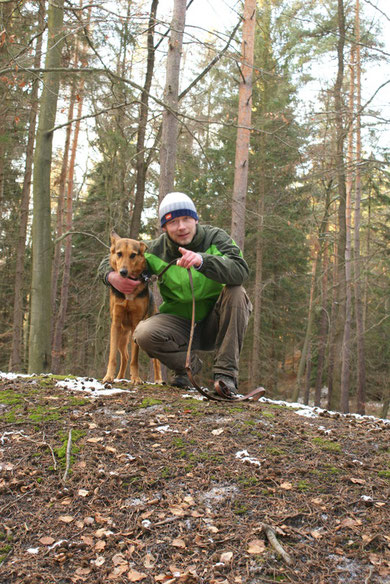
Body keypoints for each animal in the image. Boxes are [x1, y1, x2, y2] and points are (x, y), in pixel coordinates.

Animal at [103, 230, 162, 386]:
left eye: (133, 255)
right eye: (119, 254)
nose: (123, 272)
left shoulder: (136, 323)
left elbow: (135, 359)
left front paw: (136, 378)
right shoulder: (116, 324)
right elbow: (113, 357)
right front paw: (108, 376)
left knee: (156, 361)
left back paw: (159, 380)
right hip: (122, 338)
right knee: (124, 356)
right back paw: (119, 377)